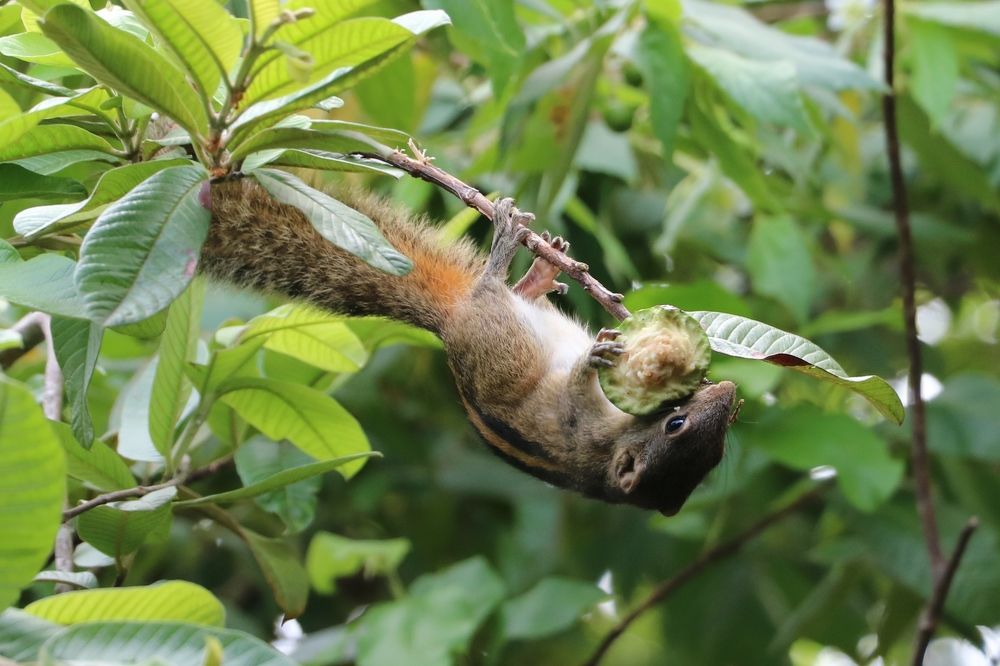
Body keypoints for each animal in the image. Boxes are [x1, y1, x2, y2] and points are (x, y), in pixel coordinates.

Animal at [202, 179, 737, 515]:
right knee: (509, 292)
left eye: (715, 454)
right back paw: (535, 266)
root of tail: (450, 321)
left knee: (491, 289)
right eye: (676, 423)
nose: (729, 393)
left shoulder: (580, 429)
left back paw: (504, 253)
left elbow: (572, 396)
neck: (607, 458)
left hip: (502, 337)